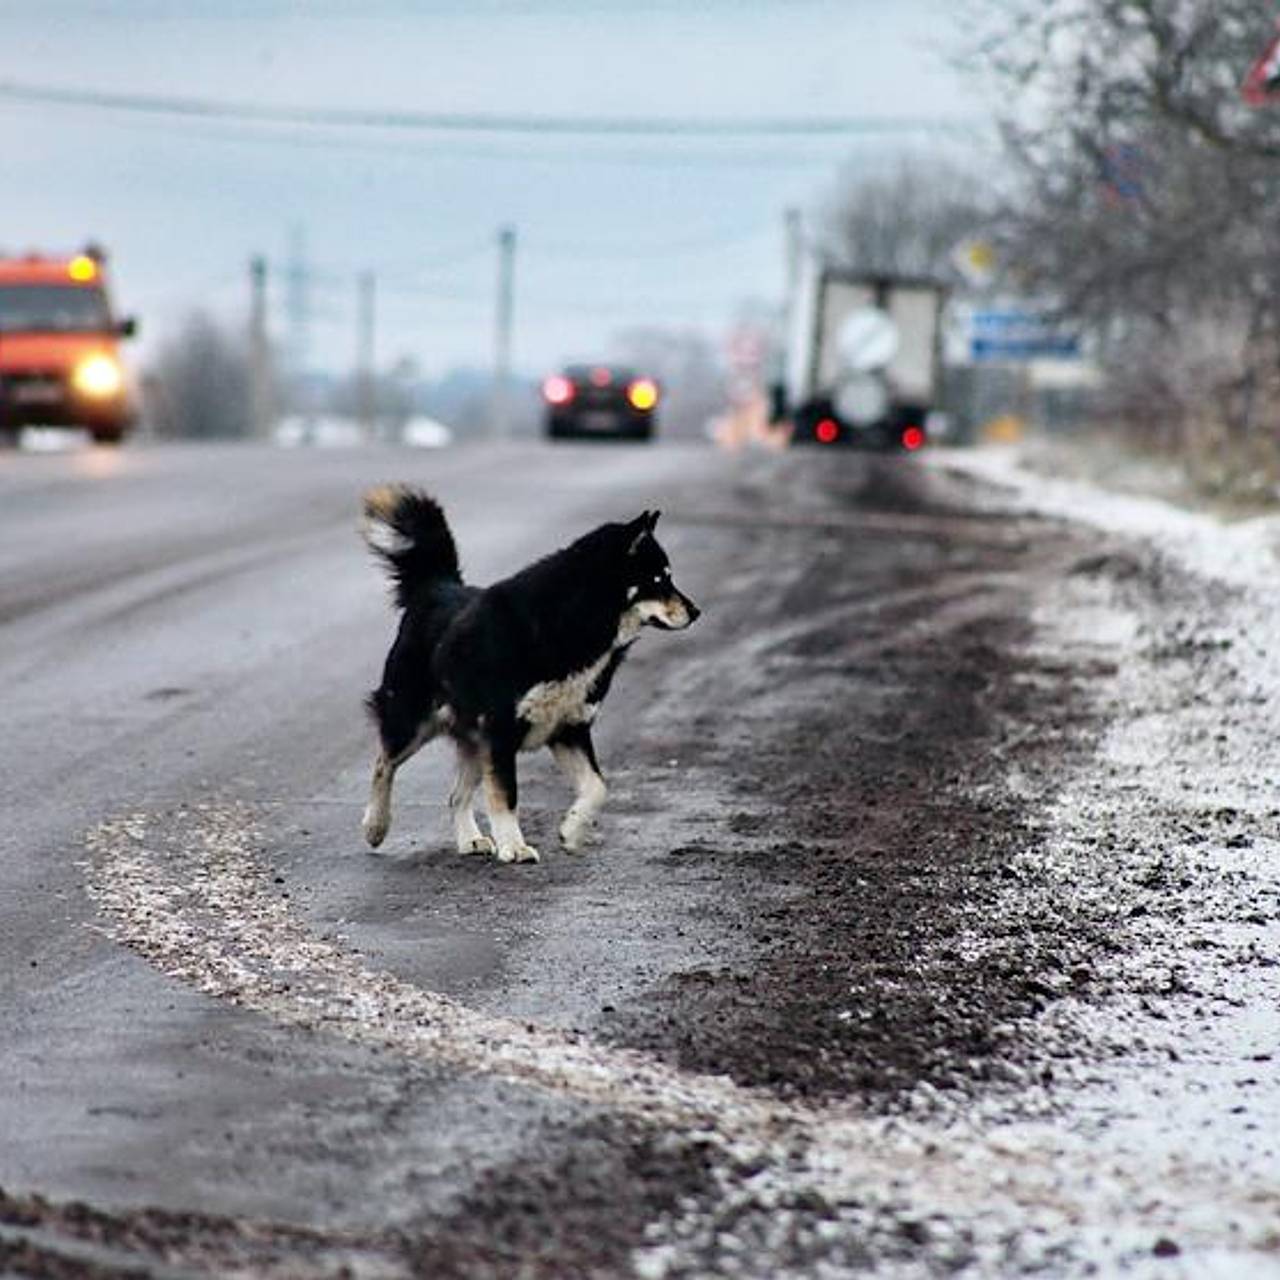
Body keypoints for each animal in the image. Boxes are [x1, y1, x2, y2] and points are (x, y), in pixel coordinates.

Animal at [360, 483, 701, 865]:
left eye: (668, 578)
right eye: (658, 580)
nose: (696, 612)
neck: (577, 617)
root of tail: (436, 585)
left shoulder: (569, 729)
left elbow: (598, 787)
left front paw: (572, 830)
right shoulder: (501, 731)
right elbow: (507, 794)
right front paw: (514, 845)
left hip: (472, 740)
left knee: (455, 795)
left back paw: (469, 839)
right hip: (412, 722)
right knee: (383, 764)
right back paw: (376, 825)